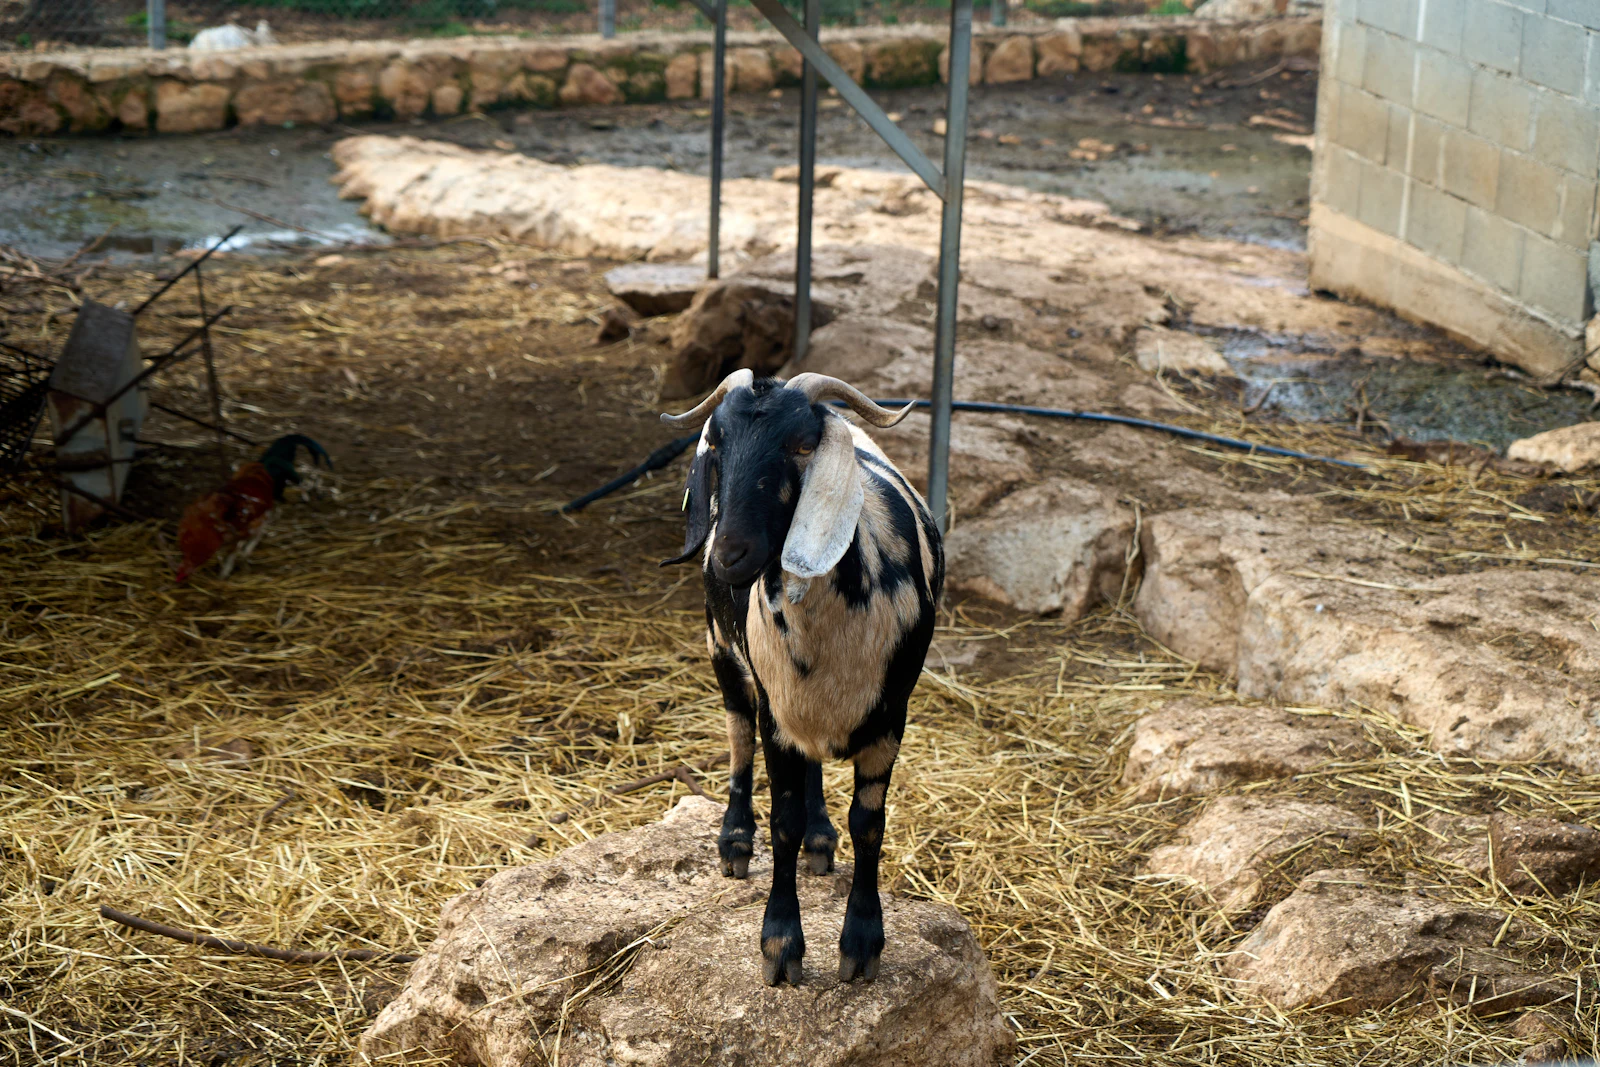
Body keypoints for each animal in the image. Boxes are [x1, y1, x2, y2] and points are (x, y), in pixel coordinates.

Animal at [660, 370, 944, 987]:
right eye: (716, 440)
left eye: (802, 444)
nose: (728, 555)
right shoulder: (776, 710)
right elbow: (782, 820)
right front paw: (781, 944)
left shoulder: (891, 714)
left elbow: (869, 823)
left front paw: (862, 943)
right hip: (722, 648)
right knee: (737, 738)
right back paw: (735, 841)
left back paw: (820, 838)